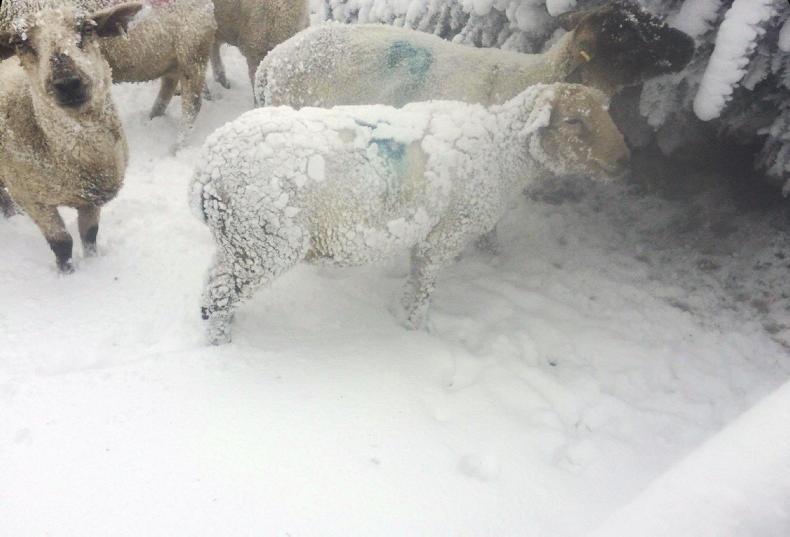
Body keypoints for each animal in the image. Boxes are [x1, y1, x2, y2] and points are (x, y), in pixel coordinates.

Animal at [0, 2, 142, 273]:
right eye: (20, 43)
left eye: (86, 28)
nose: (67, 83)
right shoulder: (33, 199)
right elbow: (62, 243)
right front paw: (67, 274)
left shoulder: (91, 199)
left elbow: (90, 235)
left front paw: (94, 263)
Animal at [191, 82, 630, 344]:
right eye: (573, 120)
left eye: (606, 112)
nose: (625, 160)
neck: (503, 152)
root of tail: (208, 168)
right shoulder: (446, 235)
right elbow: (423, 291)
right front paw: (416, 332)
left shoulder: (425, 236)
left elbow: (413, 281)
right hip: (264, 243)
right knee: (217, 297)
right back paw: (221, 343)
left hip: (238, 239)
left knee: (214, 283)